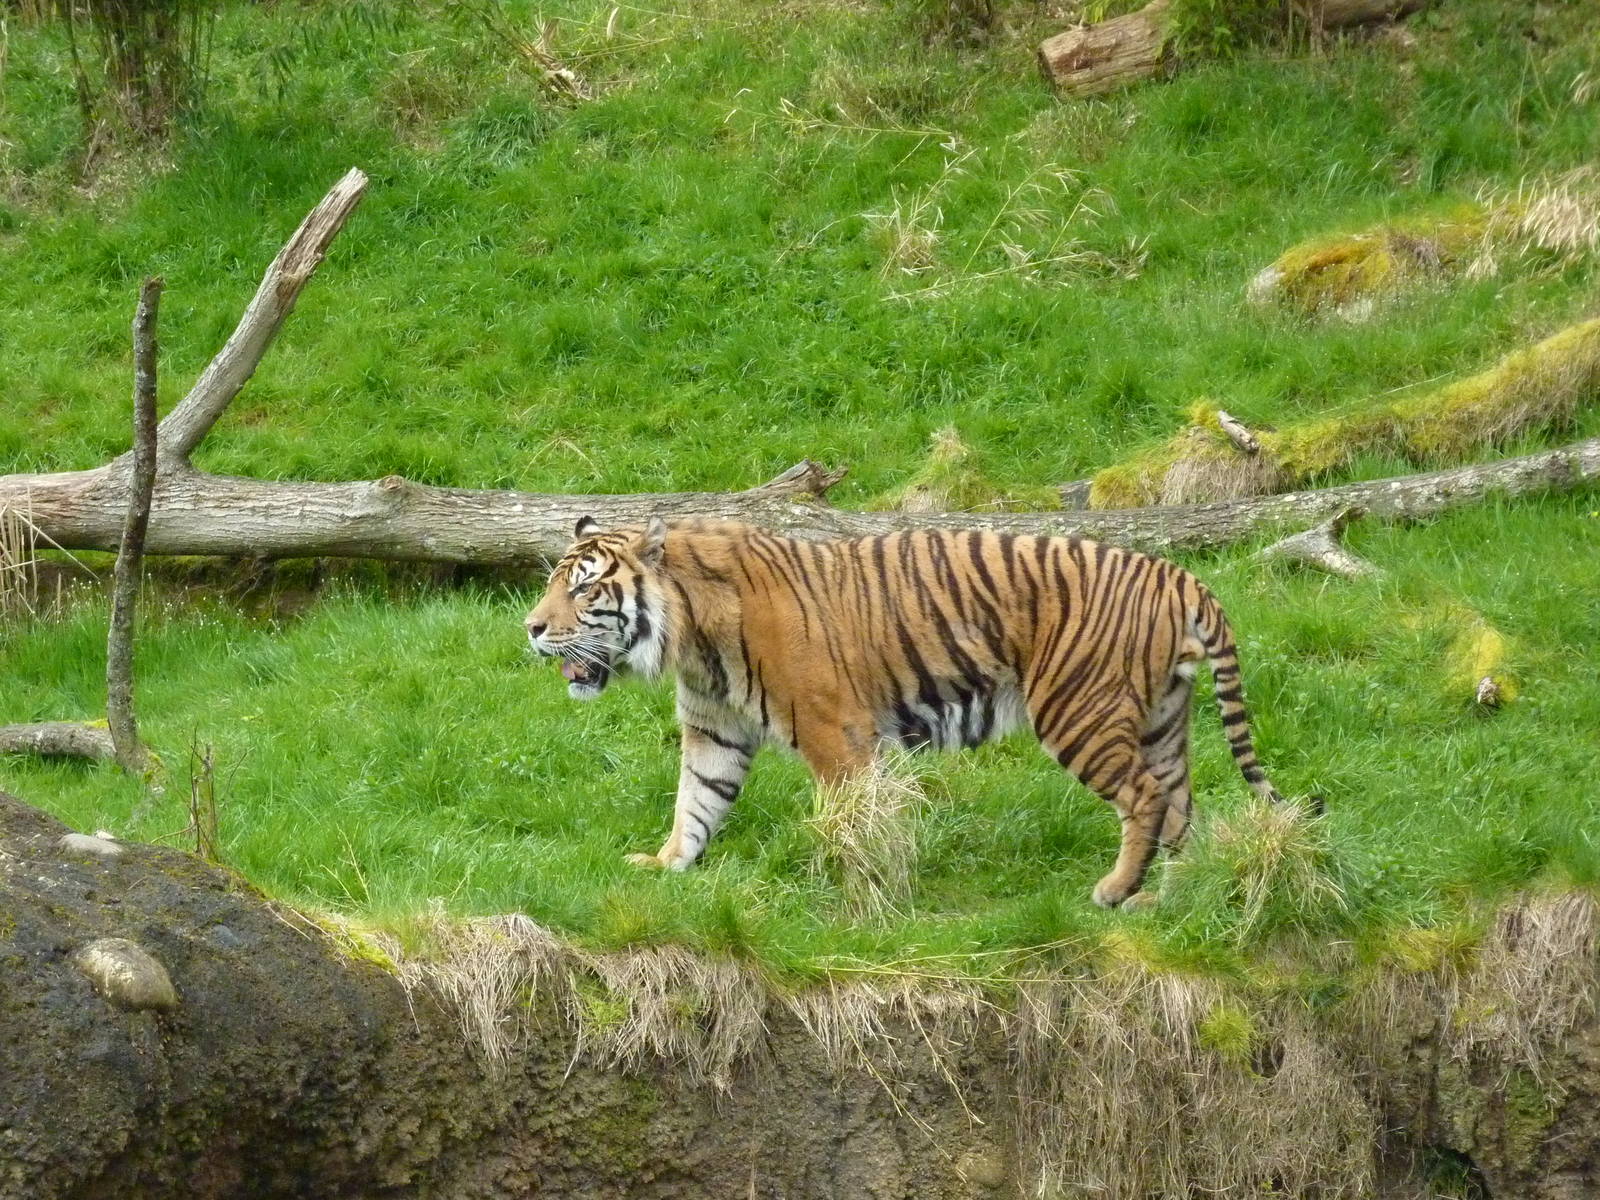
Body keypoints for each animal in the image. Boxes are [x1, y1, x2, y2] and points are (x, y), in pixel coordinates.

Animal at [524, 515, 1288, 908]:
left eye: (584, 590)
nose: (530, 628)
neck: (689, 638)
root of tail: (1178, 575)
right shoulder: (716, 729)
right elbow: (697, 801)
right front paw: (666, 866)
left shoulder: (835, 732)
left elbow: (848, 815)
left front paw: (853, 890)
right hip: (1162, 720)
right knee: (1182, 807)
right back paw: (1170, 900)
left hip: (1079, 709)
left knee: (1146, 796)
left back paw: (1115, 889)